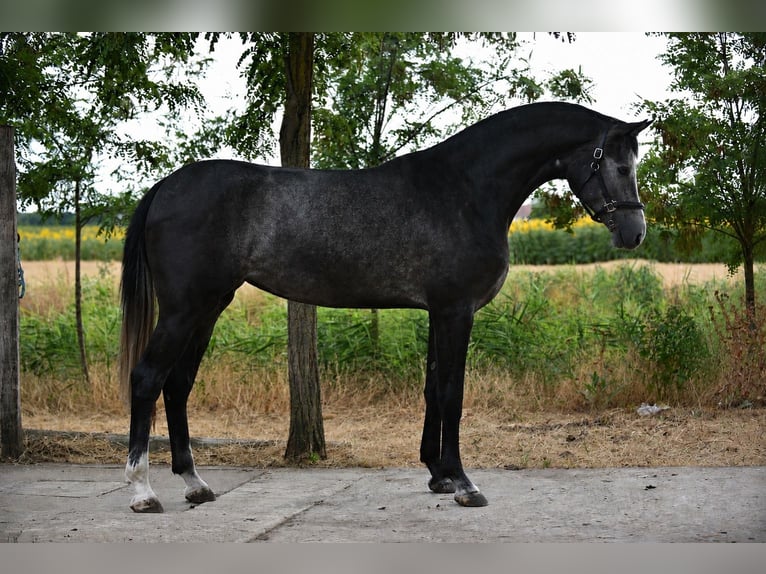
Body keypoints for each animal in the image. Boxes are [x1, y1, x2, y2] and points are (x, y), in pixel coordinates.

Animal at [119, 101, 652, 513]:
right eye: (620, 167)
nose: (635, 233)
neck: (464, 189)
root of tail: (166, 186)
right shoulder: (456, 310)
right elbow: (452, 393)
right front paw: (464, 484)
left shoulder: (440, 312)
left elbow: (433, 389)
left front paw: (438, 474)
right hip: (183, 309)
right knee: (147, 379)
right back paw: (143, 492)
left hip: (208, 307)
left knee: (178, 385)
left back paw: (195, 484)